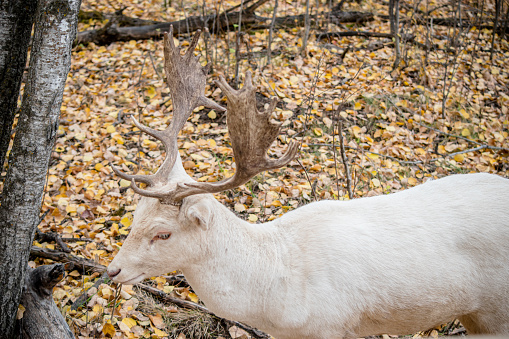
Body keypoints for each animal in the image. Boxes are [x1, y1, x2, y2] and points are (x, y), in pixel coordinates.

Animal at [107, 29, 508, 339]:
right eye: (135, 215)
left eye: (163, 234)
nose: (113, 270)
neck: (277, 295)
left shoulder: (332, 327)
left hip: (497, 310)